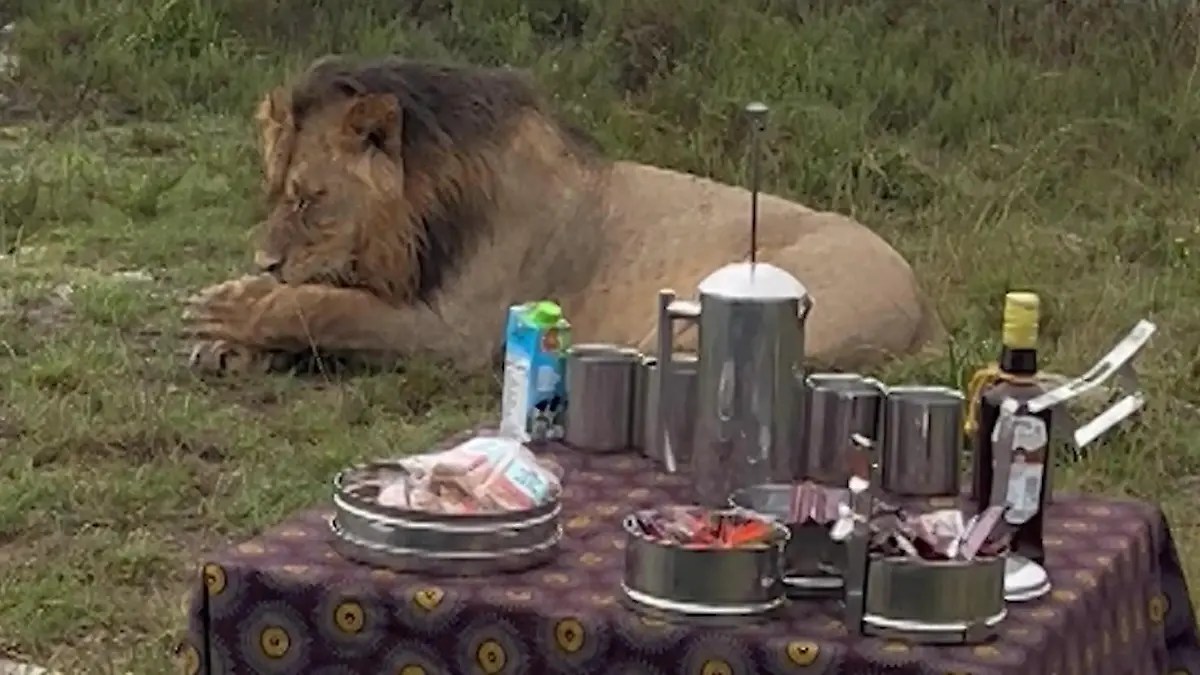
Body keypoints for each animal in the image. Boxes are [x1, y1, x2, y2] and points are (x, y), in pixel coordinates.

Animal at [183, 56, 943, 375]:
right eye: (273, 189)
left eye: (311, 199)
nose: (263, 259)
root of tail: (925, 305)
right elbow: (318, 296)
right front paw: (231, 336)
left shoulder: (456, 330)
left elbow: (322, 309)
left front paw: (229, 309)